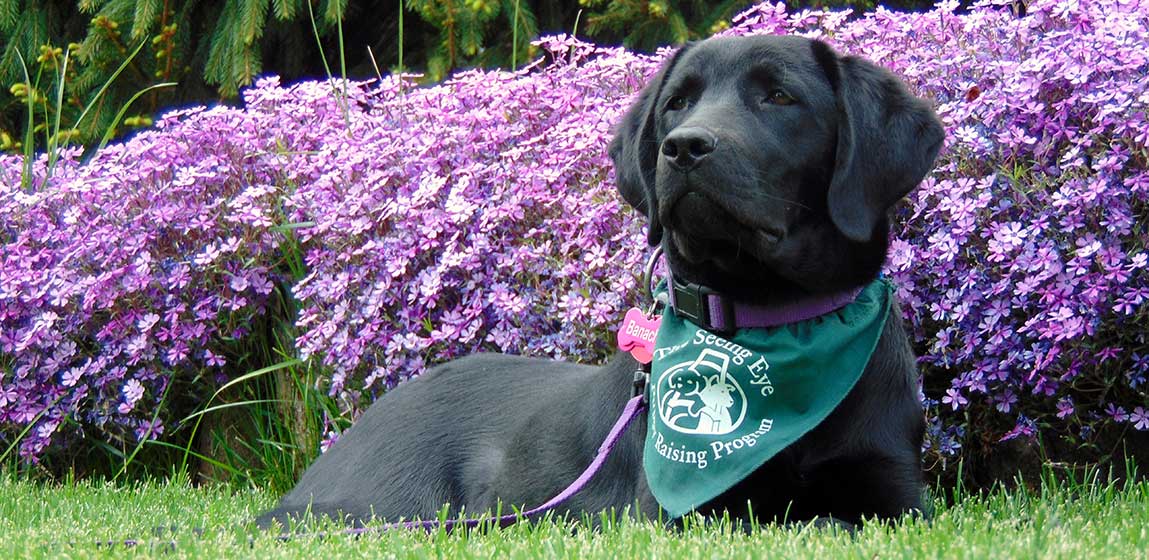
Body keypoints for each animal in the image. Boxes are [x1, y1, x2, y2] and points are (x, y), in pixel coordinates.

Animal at [258, 35, 942, 531]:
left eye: (780, 96)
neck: (775, 320)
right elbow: (811, 522)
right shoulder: (682, 514)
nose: (684, 147)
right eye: (676, 102)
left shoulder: (903, 498)